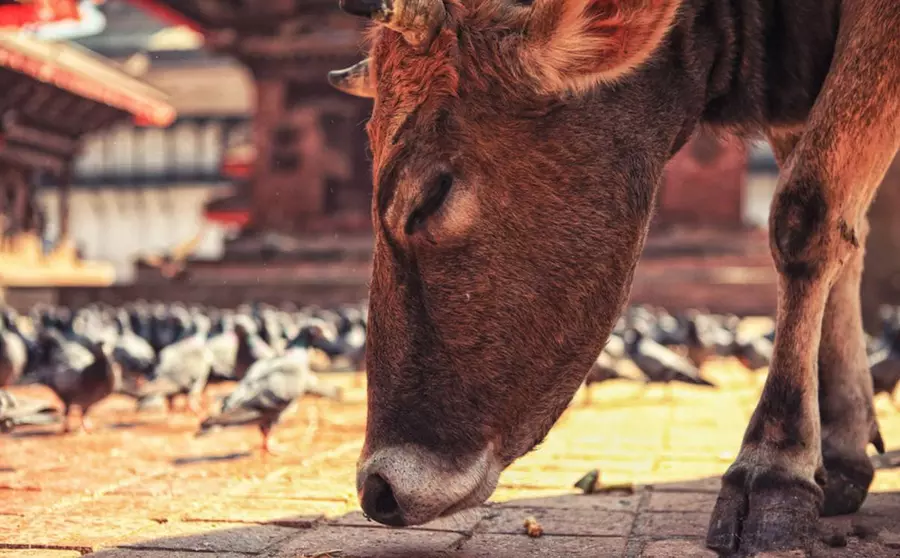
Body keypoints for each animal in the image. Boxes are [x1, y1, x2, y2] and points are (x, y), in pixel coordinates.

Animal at [327, 0, 899, 555]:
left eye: (430, 196)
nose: (377, 489)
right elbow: (847, 231)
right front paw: (840, 453)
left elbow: (806, 215)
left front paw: (774, 466)